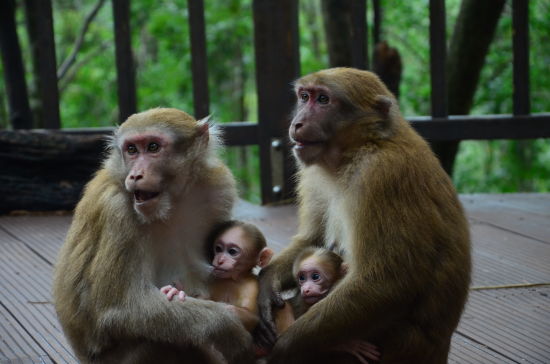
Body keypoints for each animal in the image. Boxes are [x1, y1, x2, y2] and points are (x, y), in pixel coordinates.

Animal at [52, 108, 256, 364]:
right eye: (131, 150)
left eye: (152, 147)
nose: (135, 175)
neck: (172, 203)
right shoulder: (116, 211)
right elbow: (120, 307)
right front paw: (227, 326)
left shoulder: (219, 184)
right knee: (161, 341)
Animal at [256, 68, 472, 364]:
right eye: (304, 97)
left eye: (323, 100)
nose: (297, 123)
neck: (362, 146)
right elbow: (313, 241)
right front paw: (266, 286)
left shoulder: (381, 176)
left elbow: (387, 280)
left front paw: (285, 349)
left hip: (399, 345)